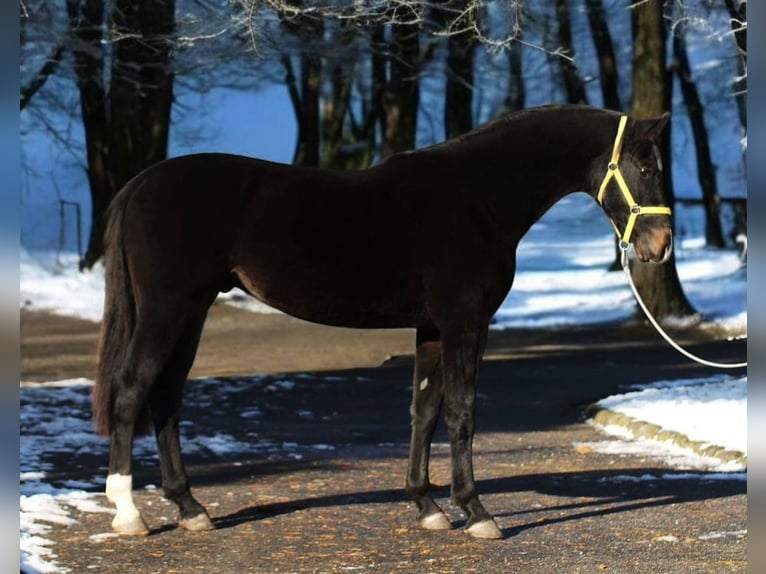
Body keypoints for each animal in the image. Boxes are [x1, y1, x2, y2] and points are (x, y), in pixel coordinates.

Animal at [94, 103, 672, 540]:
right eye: (647, 168)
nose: (661, 245)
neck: (477, 197)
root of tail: (140, 185)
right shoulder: (465, 323)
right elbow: (461, 412)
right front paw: (476, 512)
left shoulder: (433, 328)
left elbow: (424, 410)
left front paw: (428, 507)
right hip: (168, 310)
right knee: (131, 389)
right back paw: (129, 513)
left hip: (190, 314)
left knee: (166, 396)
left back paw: (191, 509)